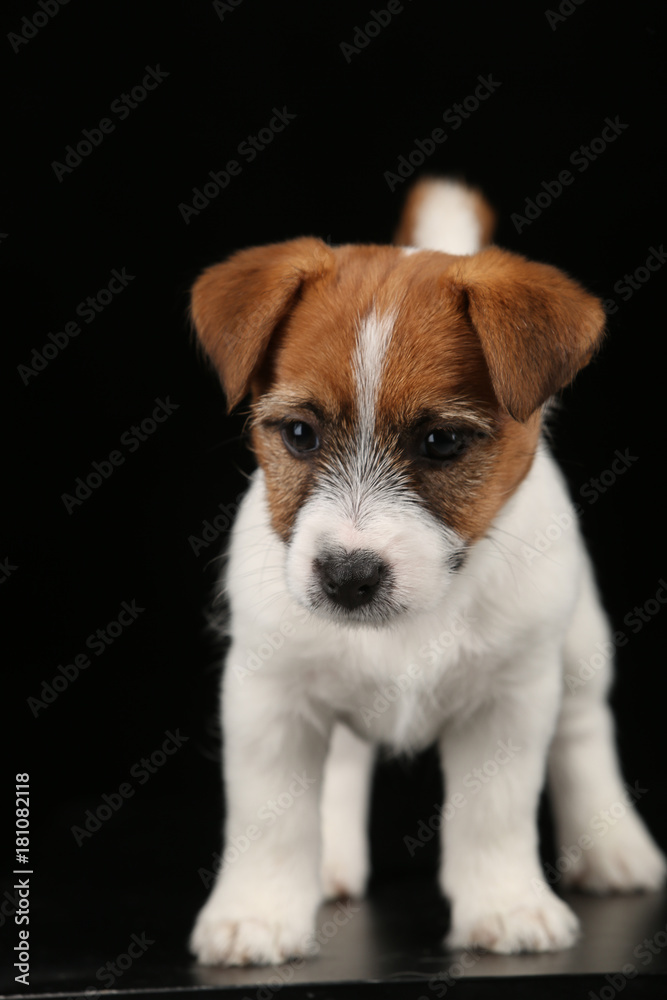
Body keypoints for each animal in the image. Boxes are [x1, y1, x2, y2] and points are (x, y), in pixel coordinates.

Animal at [185, 178, 664, 960]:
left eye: (441, 443)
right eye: (298, 434)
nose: (347, 577)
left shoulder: (509, 700)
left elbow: (494, 813)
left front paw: (505, 904)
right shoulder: (269, 696)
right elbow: (269, 817)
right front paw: (257, 913)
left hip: (579, 644)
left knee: (584, 729)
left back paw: (613, 847)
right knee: (344, 762)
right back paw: (333, 861)